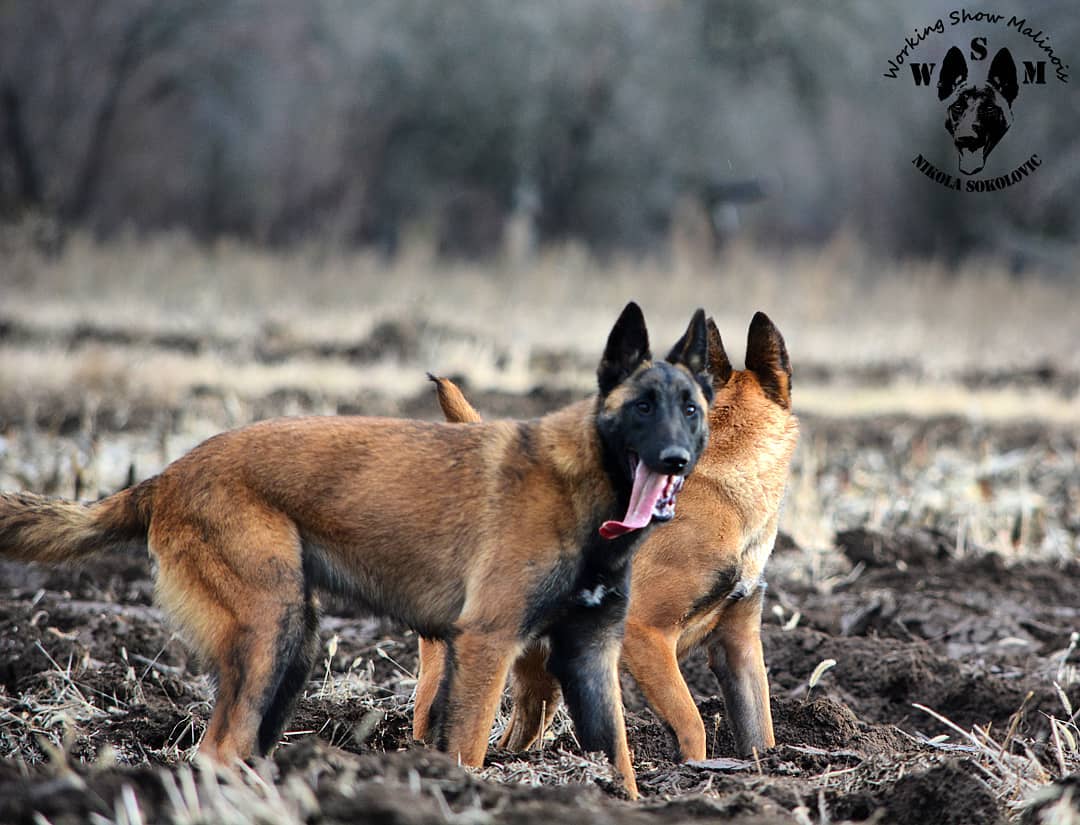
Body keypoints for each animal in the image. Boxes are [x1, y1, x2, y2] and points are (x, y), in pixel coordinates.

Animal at [416, 313, 799, 764]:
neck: (725, 477)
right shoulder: (646, 633)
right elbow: (692, 723)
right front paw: (694, 771)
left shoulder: (739, 645)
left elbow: (760, 730)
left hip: (542, 675)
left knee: (518, 727)